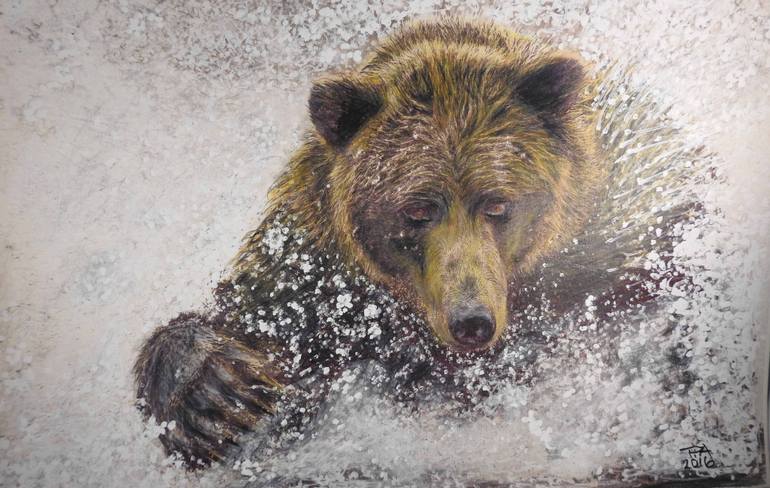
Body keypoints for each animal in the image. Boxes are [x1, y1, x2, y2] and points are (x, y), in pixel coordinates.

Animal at [134, 17, 704, 470]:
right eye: (417, 210)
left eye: (497, 204)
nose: (472, 321)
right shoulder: (316, 277)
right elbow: (248, 320)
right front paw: (215, 392)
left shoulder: (626, 222)